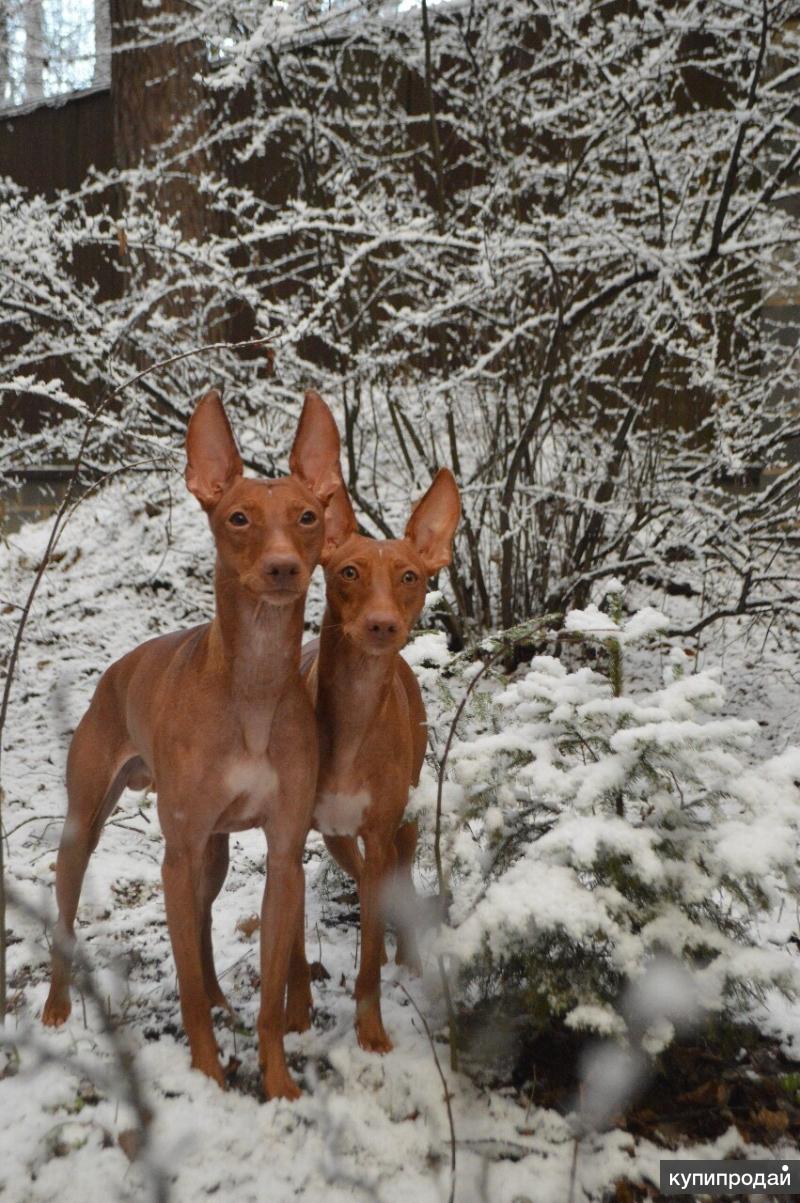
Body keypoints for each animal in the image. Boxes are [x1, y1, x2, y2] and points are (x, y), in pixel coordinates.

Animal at [43, 387, 341, 1101]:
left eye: (309, 516)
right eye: (238, 518)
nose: (284, 568)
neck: (252, 685)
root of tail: (116, 670)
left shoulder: (284, 856)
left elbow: (270, 997)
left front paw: (279, 1083)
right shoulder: (172, 859)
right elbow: (181, 986)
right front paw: (207, 1073)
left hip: (213, 850)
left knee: (202, 921)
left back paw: (217, 997)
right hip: (85, 827)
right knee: (65, 913)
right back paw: (57, 1009)